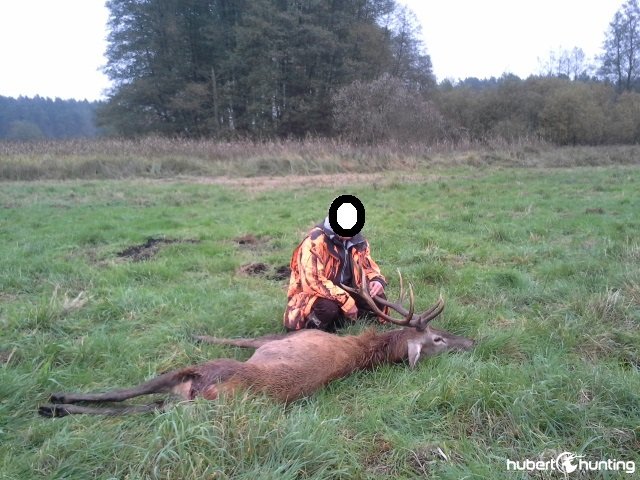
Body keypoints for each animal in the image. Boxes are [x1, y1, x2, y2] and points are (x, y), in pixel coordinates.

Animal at [38, 267, 474, 417]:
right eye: (440, 337)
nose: (470, 342)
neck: (364, 348)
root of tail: (209, 394)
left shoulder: (282, 337)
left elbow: (241, 337)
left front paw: (196, 332)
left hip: (198, 372)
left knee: (136, 398)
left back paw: (56, 403)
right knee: (148, 404)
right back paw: (57, 405)